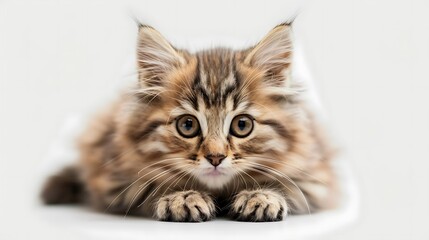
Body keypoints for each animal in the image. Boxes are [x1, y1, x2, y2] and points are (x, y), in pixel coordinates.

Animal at [41, 22, 340, 221]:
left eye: (242, 125)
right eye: (187, 126)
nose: (216, 158)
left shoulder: (317, 175)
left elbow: (288, 185)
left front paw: (261, 196)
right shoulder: (114, 179)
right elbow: (150, 185)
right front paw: (182, 197)